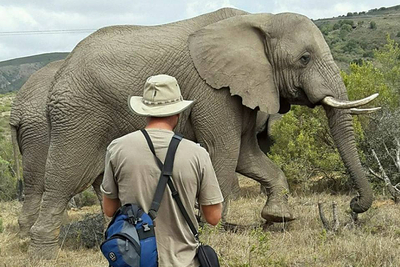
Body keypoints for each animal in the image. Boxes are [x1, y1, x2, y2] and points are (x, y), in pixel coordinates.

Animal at [21, 8, 378, 260]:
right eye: (304, 59)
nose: (353, 206)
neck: (259, 19)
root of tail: (60, 73)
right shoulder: (213, 91)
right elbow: (225, 150)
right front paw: (213, 234)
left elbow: (248, 155)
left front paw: (278, 217)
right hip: (78, 115)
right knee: (65, 178)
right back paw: (42, 254)